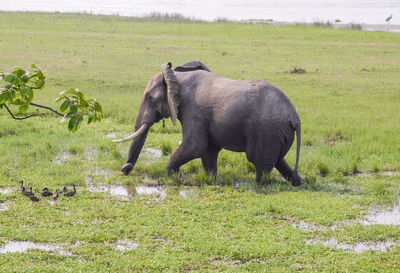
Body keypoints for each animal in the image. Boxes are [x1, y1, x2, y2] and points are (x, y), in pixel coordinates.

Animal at [111, 61, 302, 185]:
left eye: (149, 98)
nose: (125, 168)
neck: (176, 77)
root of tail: (295, 118)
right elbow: (208, 150)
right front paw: (211, 180)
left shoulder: (193, 111)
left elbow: (195, 145)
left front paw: (178, 179)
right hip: (276, 133)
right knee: (278, 161)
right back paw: (298, 181)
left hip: (266, 132)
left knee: (260, 162)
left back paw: (259, 185)